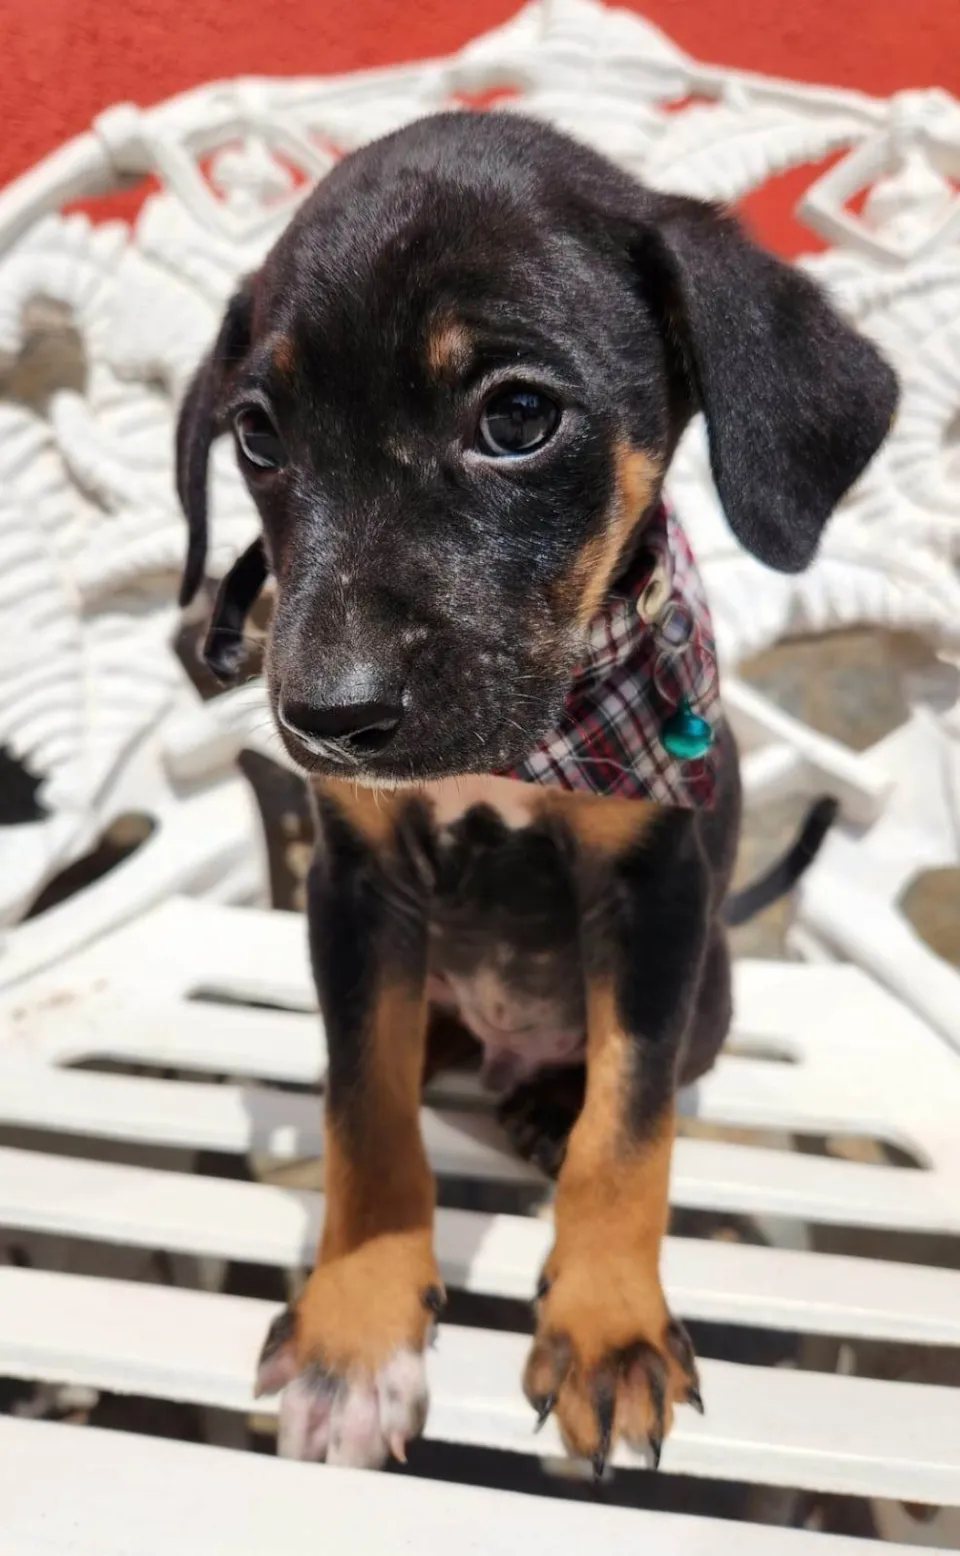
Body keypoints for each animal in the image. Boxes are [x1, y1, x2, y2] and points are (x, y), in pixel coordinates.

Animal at [176, 110, 896, 1474]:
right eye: (259, 436)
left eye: (517, 416)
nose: (325, 721)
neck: (537, 744)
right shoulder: (359, 886)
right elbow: (363, 1109)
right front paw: (356, 1333)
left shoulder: (656, 890)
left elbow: (629, 1123)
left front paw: (609, 1329)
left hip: (712, 983)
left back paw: (547, 1097)